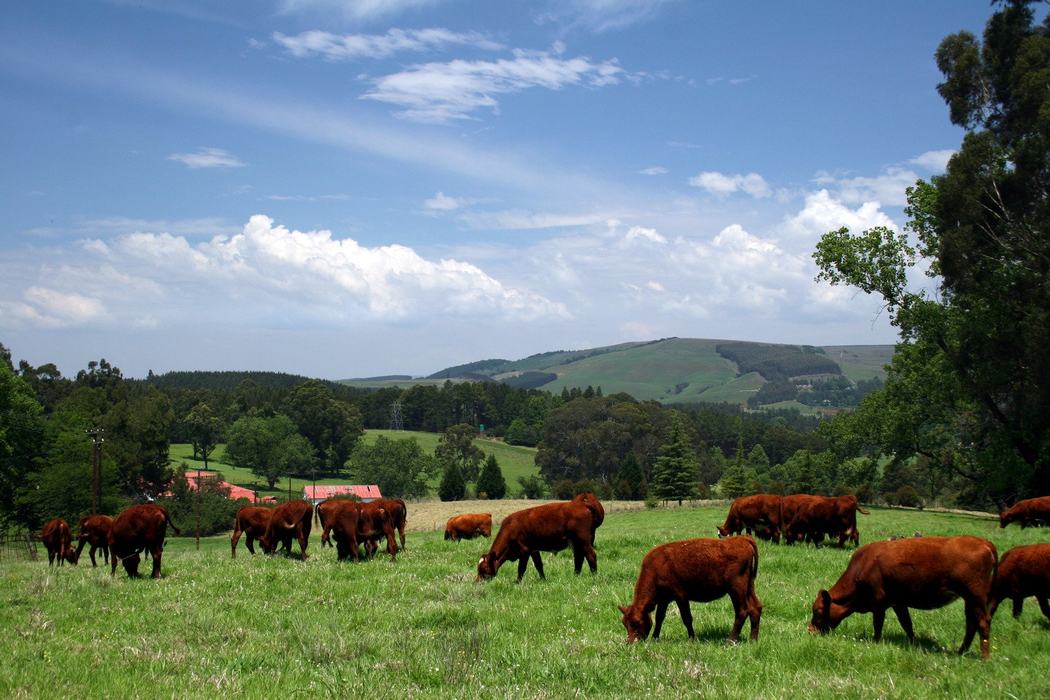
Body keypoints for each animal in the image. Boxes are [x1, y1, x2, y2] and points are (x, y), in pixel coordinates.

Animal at [619, 536, 762, 644]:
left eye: (636, 622)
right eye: (625, 623)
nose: (630, 642)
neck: (656, 568)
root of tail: (741, 539)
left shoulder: (680, 596)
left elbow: (687, 618)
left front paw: (692, 638)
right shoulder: (664, 599)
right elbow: (659, 618)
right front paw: (655, 638)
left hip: (736, 588)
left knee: (742, 611)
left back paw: (731, 640)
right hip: (749, 586)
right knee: (756, 607)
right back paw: (753, 640)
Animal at [809, 535, 998, 658]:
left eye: (818, 610)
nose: (810, 630)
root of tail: (983, 542)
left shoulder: (878, 603)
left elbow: (878, 624)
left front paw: (875, 642)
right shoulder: (898, 602)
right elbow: (907, 624)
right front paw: (914, 643)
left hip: (975, 596)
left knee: (982, 623)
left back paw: (984, 658)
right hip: (970, 600)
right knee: (971, 624)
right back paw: (961, 652)